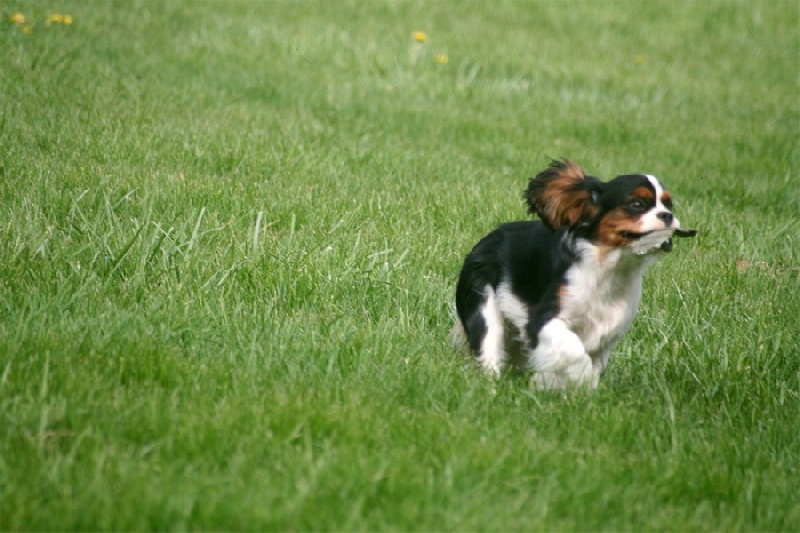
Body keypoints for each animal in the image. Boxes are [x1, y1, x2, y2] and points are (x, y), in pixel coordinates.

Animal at [454, 160, 696, 388]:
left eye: (669, 205)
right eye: (637, 204)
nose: (667, 216)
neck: (610, 268)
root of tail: (486, 240)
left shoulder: (608, 333)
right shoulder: (543, 320)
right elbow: (574, 351)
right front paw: (580, 380)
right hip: (485, 305)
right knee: (489, 352)